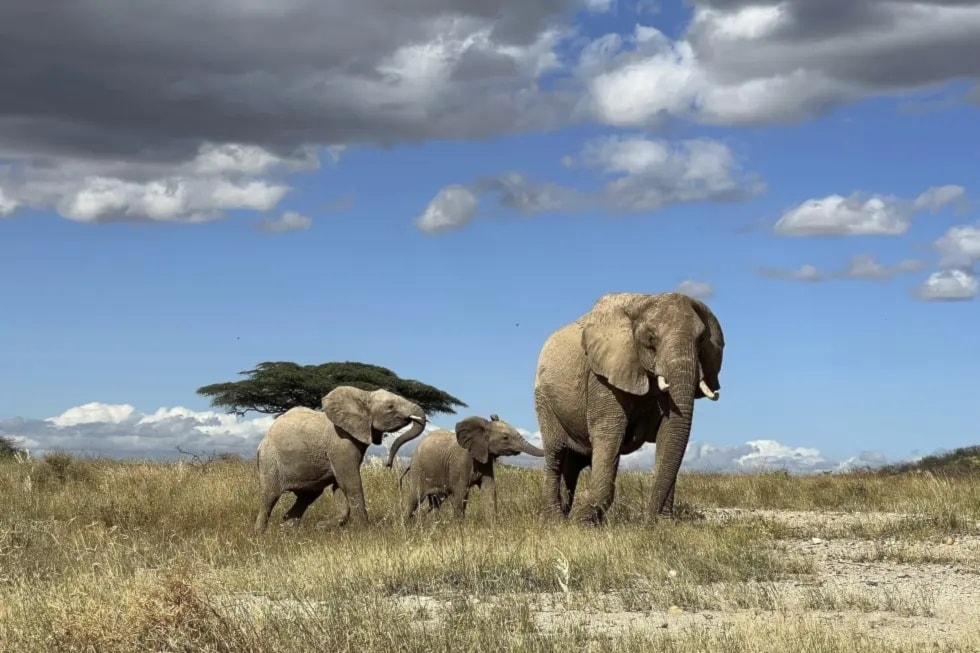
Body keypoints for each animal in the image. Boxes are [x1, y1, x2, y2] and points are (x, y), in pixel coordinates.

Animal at [253, 384, 424, 532]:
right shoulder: (341, 443)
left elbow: (339, 485)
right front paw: (366, 531)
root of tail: (263, 441)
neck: (364, 395)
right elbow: (350, 482)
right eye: (390, 407)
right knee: (270, 496)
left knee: (308, 496)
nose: (388, 464)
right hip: (270, 459)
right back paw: (260, 534)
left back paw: (287, 530)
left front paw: (322, 526)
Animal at [402, 412, 548, 520]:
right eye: (505, 438)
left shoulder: (485, 459)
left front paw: (492, 525)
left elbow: (489, 488)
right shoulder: (460, 463)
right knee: (414, 498)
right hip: (418, 469)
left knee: (435, 502)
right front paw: (458, 526)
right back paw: (407, 525)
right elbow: (461, 493)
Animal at [532, 290, 724, 524]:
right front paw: (582, 523)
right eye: (651, 339)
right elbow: (609, 434)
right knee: (555, 454)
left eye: (702, 340)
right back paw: (556, 520)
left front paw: (664, 524)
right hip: (544, 398)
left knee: (575, 462)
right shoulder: (601, 377)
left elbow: (669, 434)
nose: (648, 521)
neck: (644, 301)